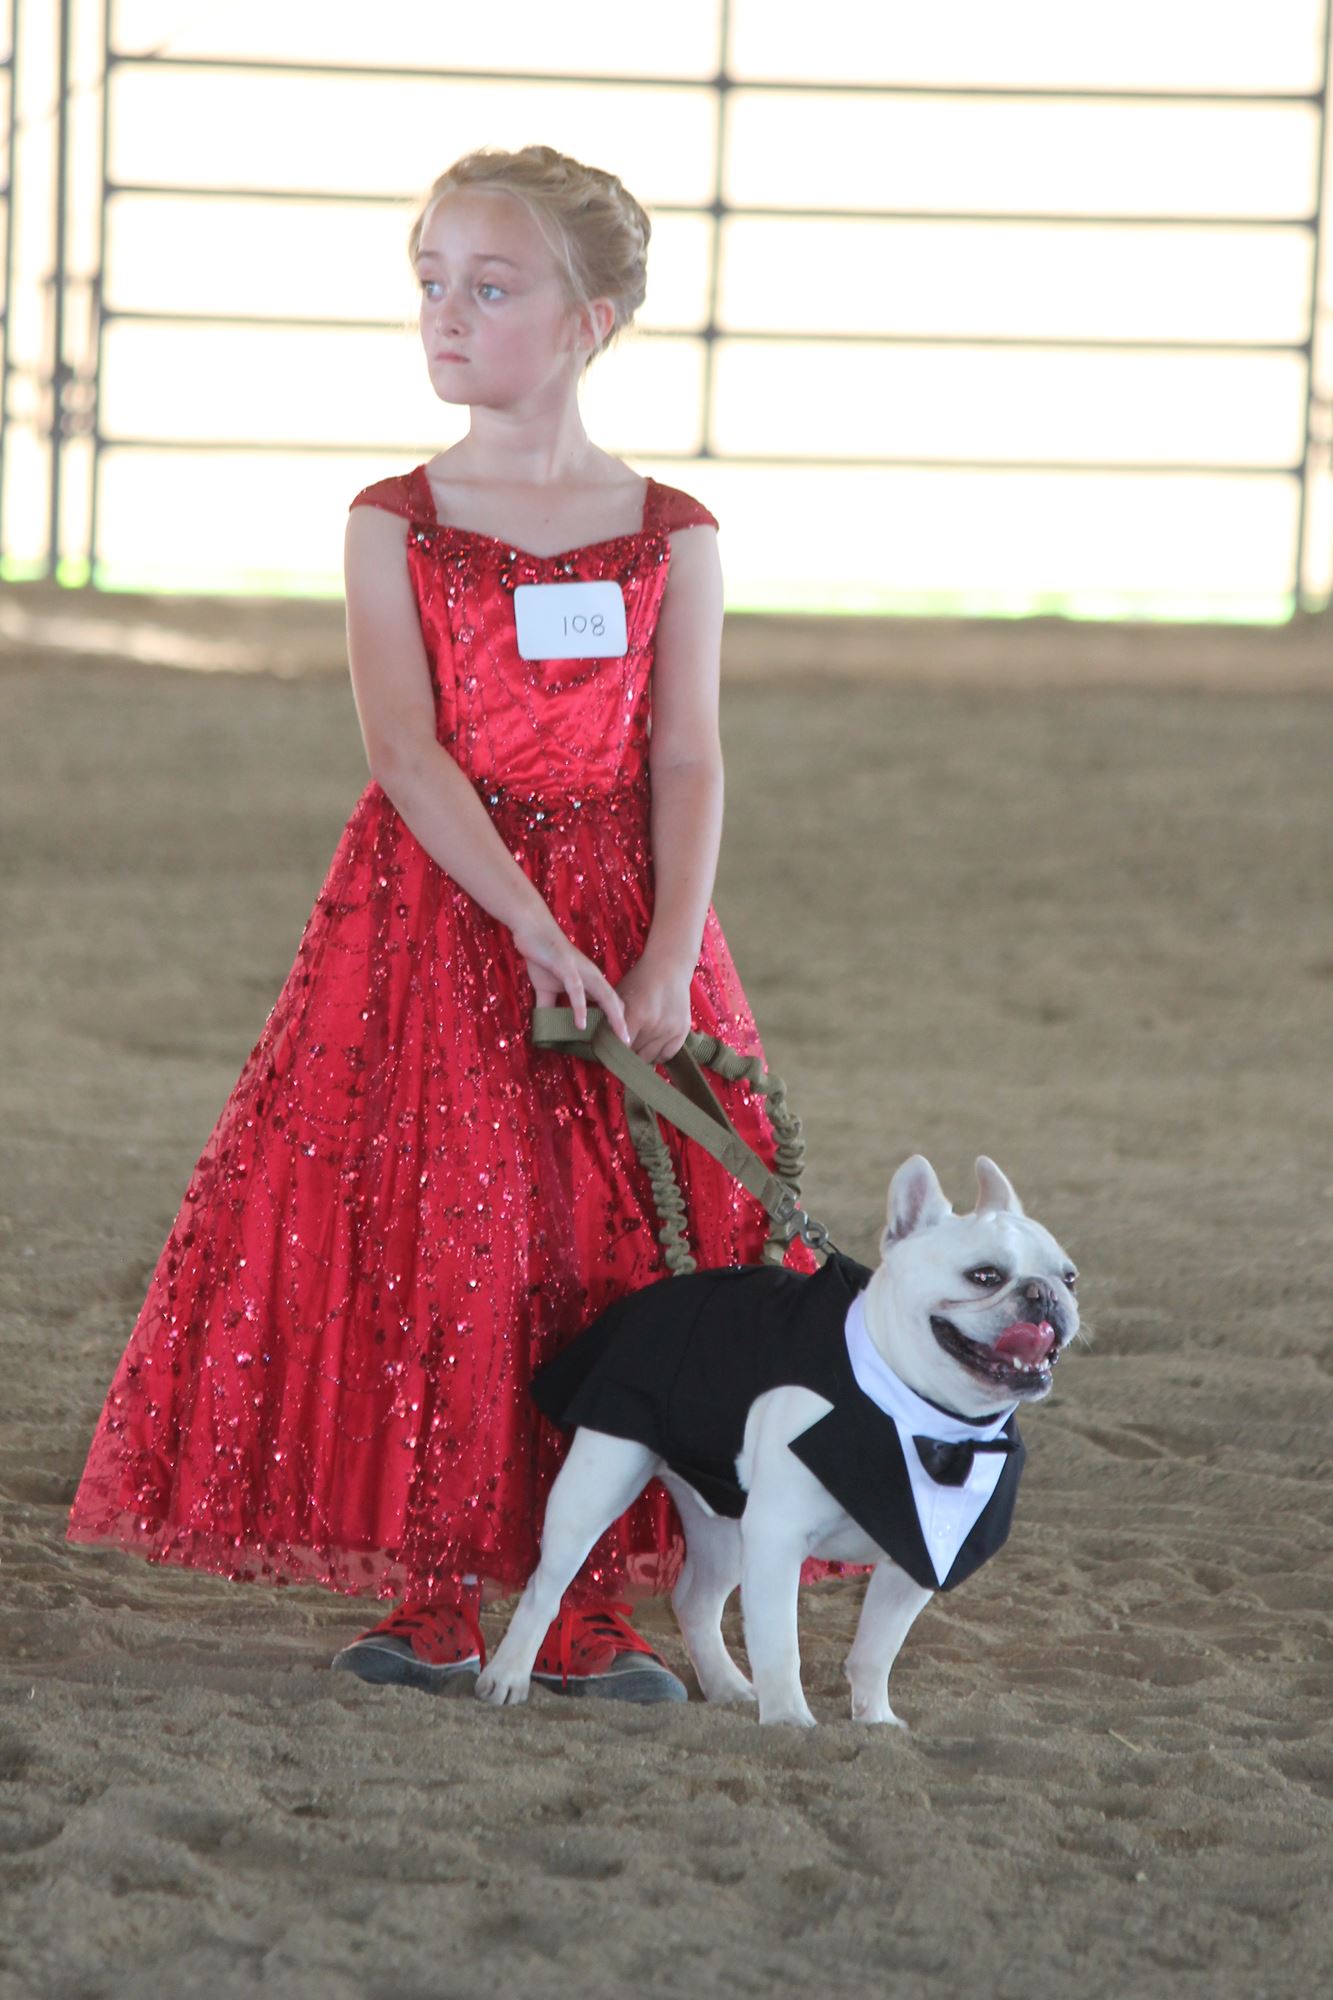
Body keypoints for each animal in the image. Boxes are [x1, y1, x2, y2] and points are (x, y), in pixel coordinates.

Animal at [478, 1168, 1080, 1728]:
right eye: (985, 1276)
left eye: (1070, 1276)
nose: (1044, 1293)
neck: (920, 1415)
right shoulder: (778, 1539)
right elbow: (779, 1644)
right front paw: (790, 1720)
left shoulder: (915, 1560)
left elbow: (877, 1648)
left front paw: (875, 1720)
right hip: (599, 1482)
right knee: (546, 1586)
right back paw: (506, 1674)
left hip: (724, 1524)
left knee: (695, 1600)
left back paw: (725, 1684)